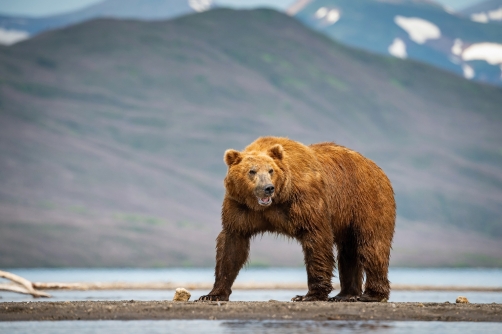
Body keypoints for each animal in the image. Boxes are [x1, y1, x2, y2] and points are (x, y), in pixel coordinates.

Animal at [198, 136, 394, 302]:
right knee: (349, 251)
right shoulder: (239, 207)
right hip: (348, 217)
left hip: (366, 201)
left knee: (372, 244)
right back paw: (345, 295)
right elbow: (232, 245)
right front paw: (212, 294)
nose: (268, 188)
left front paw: (308, 295)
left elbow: (317, 239)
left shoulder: (305, 200)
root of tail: (375, 167)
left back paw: (372, 295)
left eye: (270, 170)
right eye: (252, 171)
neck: (275, 200)